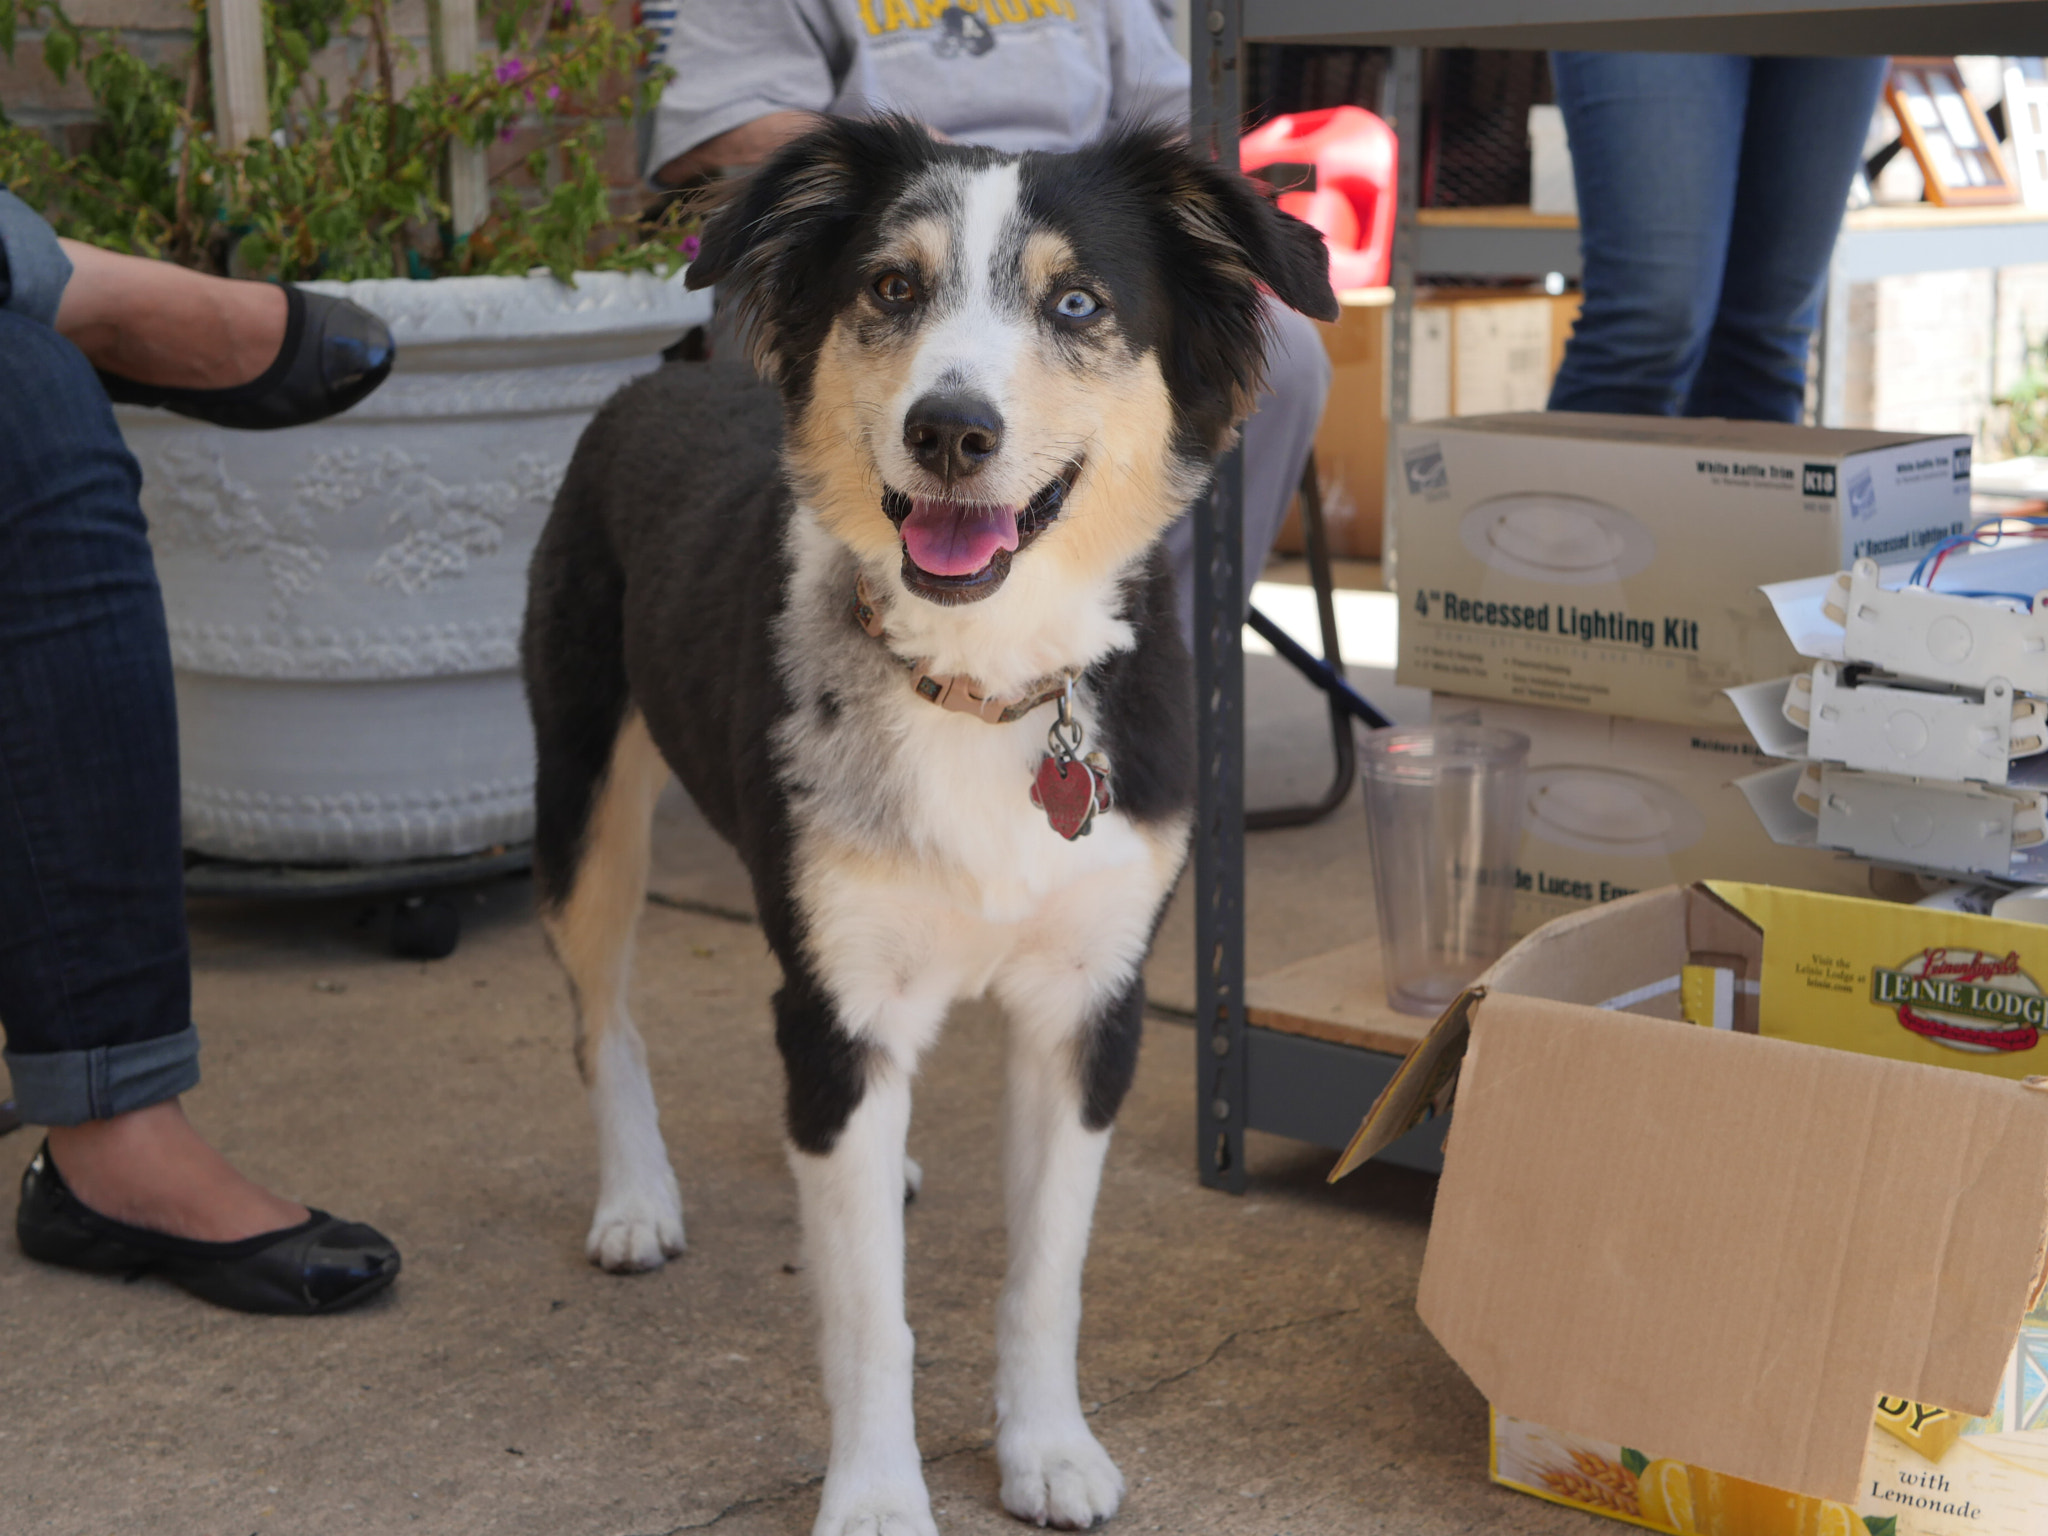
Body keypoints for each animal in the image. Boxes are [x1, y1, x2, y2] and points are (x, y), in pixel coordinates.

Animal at [520, 114, 1335, 1531]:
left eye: (1077, 303)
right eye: (891, 287)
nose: (949, 429)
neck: (983, 684)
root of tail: (660, 382)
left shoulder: (1089, 1002)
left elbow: (1043, 1274)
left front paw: (1046, 1446)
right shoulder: (837, 995)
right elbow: (867, 1316)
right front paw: (876, 1496)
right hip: (583, 797)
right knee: (601, 1016)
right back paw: (634, 1199)